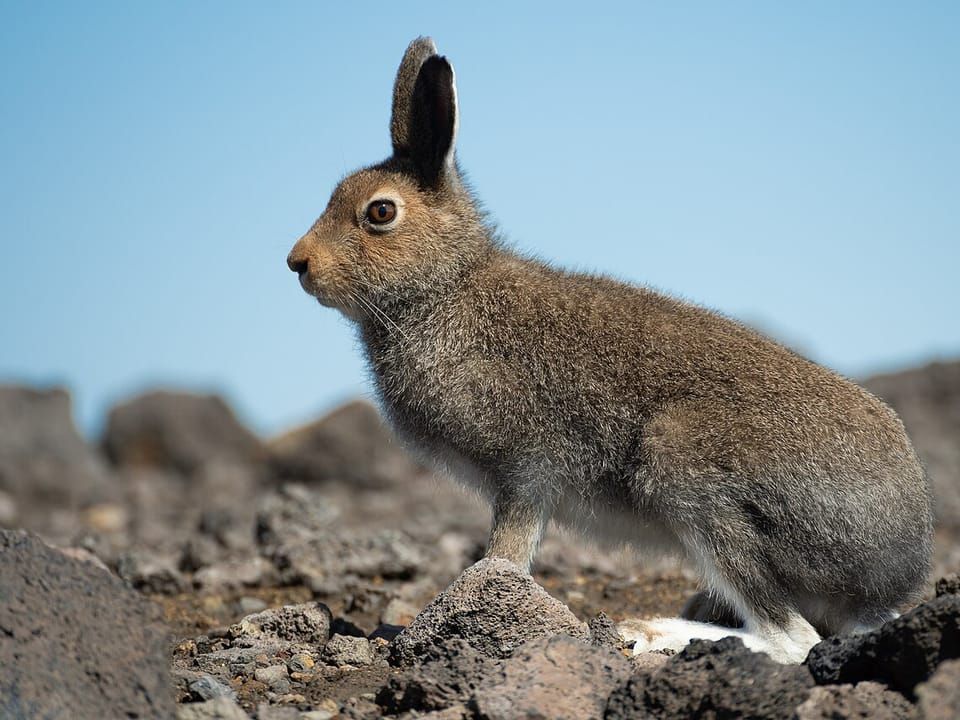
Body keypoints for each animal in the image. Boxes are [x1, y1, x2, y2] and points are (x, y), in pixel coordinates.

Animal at [286, 37, 934, 663]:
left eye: (380, 212)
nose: (297, 263)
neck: (446, 286)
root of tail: (898, 564)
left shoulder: (525, 472)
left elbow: (503, 558)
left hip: (686, 468)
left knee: (793, 639)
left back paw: (651, 634)